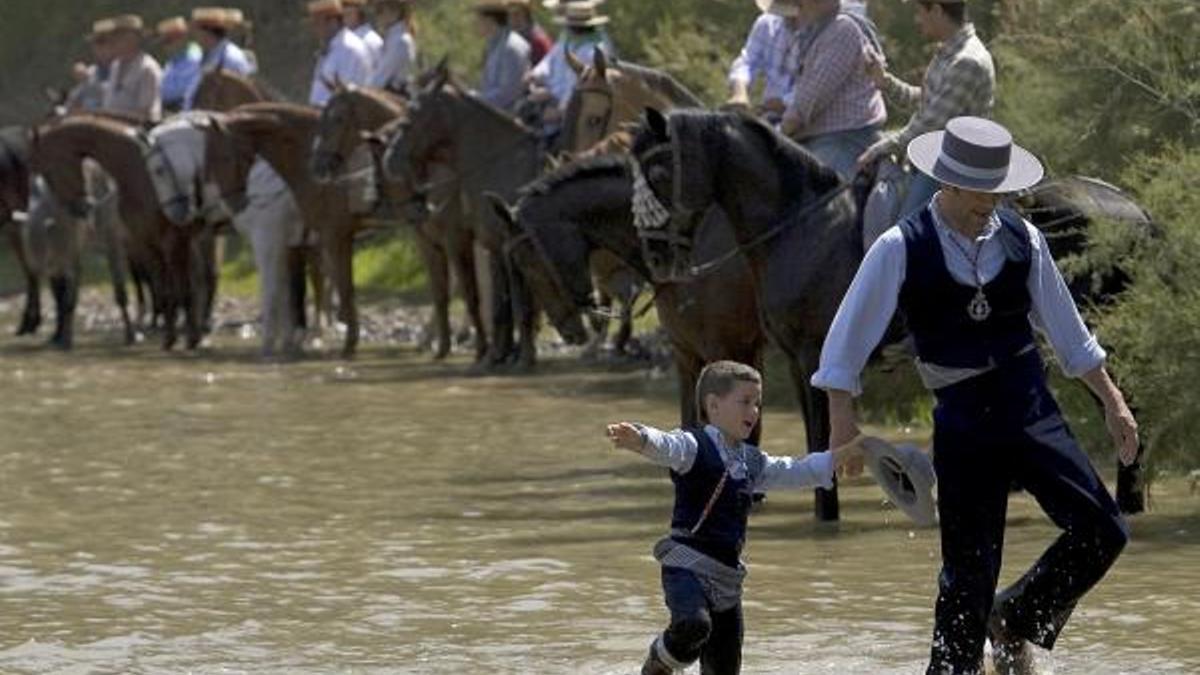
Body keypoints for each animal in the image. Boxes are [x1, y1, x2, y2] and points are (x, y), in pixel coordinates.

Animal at [30, 114, 205, 350]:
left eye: (47, 171)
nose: (82, 208)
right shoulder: (91, 248)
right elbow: (71, 297)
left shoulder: (143, 242)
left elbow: (150, 290)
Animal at [203, 102, 365, 357]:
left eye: (224, 155)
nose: (235, 202)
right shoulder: (293, 244)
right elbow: (288, 291)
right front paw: (289, 340)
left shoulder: (273, 240)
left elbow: (275, 290)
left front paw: (271, 343)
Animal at [312, 83, 486, 361]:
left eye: (338, 118)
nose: (318, 165)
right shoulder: (427, 239)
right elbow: (440, 291)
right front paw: (442, 346)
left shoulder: (453, 236)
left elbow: (463, 288)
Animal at [383, 63, 543, 370]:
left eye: (411, 117)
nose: (389, 160)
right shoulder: (493, 246)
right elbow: (496, 302)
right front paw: (496, 354)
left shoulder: (492, 243)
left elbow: (515, 300)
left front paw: (520, 355)